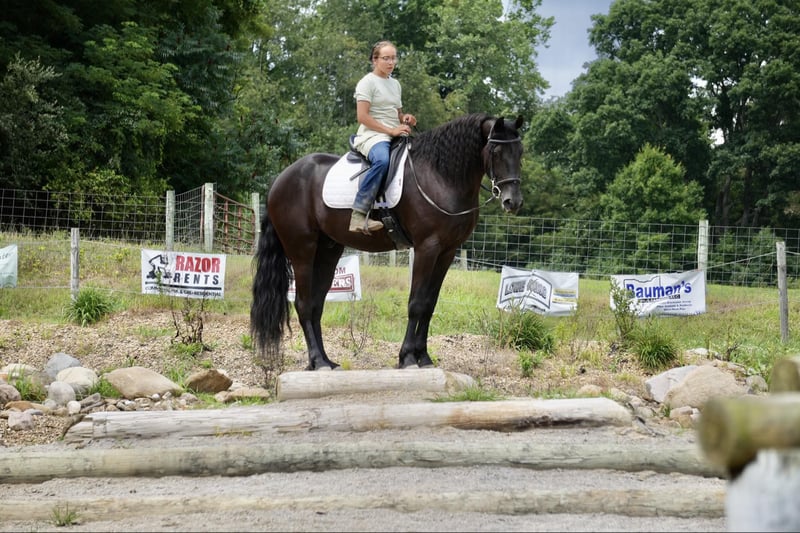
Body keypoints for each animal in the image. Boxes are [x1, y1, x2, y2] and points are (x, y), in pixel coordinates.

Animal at [251, 112, 524, 370]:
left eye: (520, 151)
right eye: (496, 151)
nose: (513, 201)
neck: (440, 176)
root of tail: (280, 180)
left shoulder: (447, 251)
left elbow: (430, 304)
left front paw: (424, 357)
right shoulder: (427, 248)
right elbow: (417, 303)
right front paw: (408, 357)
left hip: (327, 251)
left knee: (317, 304)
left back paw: (325, 361)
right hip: (302, 251)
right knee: (304, 304)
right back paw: (318, 361)